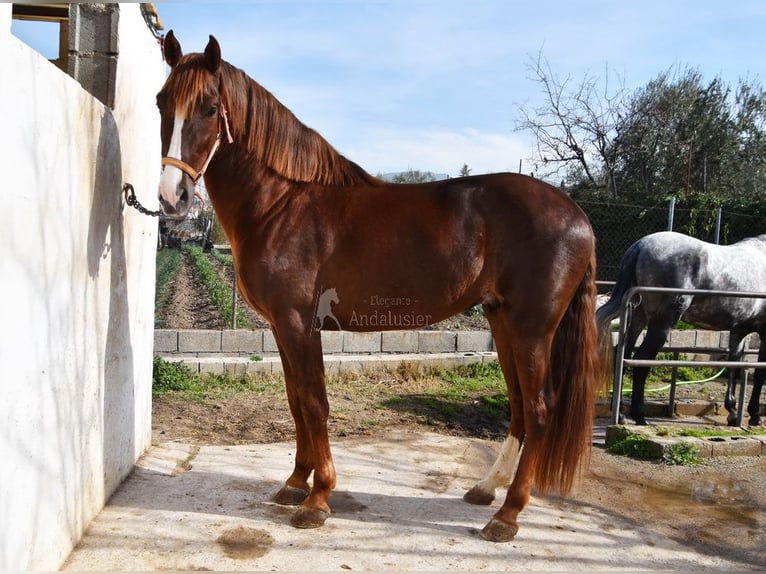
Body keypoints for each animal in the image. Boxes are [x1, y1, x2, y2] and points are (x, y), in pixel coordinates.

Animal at [154, 30, 600, 544]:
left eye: (210, 108)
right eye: (161, 102)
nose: (172, 197)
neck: (281, 204)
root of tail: (577, 215)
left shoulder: (298, 324)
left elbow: (314, 403)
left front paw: (317, 499)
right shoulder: (284, 329)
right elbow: (295, 400)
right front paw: (295, 483)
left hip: (532, 330)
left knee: (541, 410)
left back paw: (507, 516)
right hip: (502, 322)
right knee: (520, 408)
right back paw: (486, 490)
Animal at [600, 231, 766, 428]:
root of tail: (640, 245)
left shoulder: (738, 332)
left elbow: (734, 366)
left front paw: (733, 413)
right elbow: (760, 373)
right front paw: (755, 415)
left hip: (638, 318)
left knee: (623, 357)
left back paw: (620, 415)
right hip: (661, 324)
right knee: (641, 361)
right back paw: (640, 416)